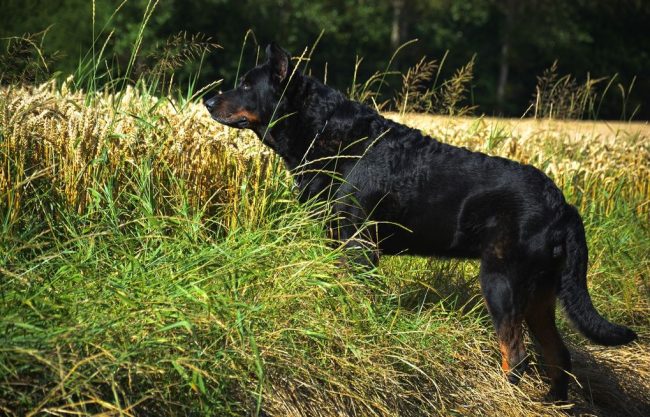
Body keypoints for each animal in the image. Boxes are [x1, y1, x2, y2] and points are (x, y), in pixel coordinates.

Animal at [205, 42, 636, 400]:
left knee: (516, 355)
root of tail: (562, 204)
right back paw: (552, 402)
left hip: (502, 283)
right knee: (558, 355)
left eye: (246, 85)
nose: (207, 100)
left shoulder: (359, 243)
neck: (324, 133)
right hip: (540, 296)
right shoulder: (337, 238)